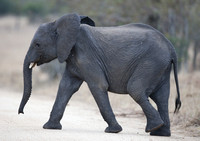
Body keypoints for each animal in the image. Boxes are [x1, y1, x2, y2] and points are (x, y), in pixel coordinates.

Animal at [18, 12, 181, 137]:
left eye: (37, 45)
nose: (21, 113)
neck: (59, 23)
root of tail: (171, 47)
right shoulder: (74, 59)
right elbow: (66, 87)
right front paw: (49, 127)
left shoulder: (86, 55)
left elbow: (98, 86)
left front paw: (113, 131)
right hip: (161, 66)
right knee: (161, 97)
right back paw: (160, 133)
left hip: (151, 62)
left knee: (135, 90)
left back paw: (153, 128)